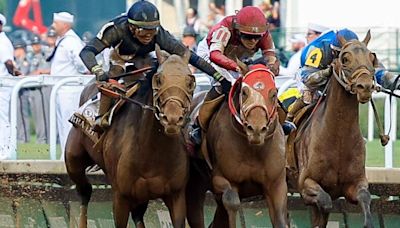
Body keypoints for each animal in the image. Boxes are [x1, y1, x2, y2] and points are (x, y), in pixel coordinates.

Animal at [64, 47, 195, 227]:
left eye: (190, 81)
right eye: (158, 79)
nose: (173, 119)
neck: (153, 153)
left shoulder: (176, 196)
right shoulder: (121, 197)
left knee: (137, 215)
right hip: (73, 161)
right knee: (84, 192)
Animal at [188, 62, 288, 228]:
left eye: (274, 93)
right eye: (244, 92)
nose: (256, 129)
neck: (253, 148)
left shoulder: (276, 184)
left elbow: (280, 220)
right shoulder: (220, 179)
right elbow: (232, 201)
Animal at [290, 31, 378, 227]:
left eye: (372, 57)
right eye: (345, 58)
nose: (365, 87)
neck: (338, 137)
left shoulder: (356, 182)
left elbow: (365, 198)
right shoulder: (305, 183)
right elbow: (325, 203)